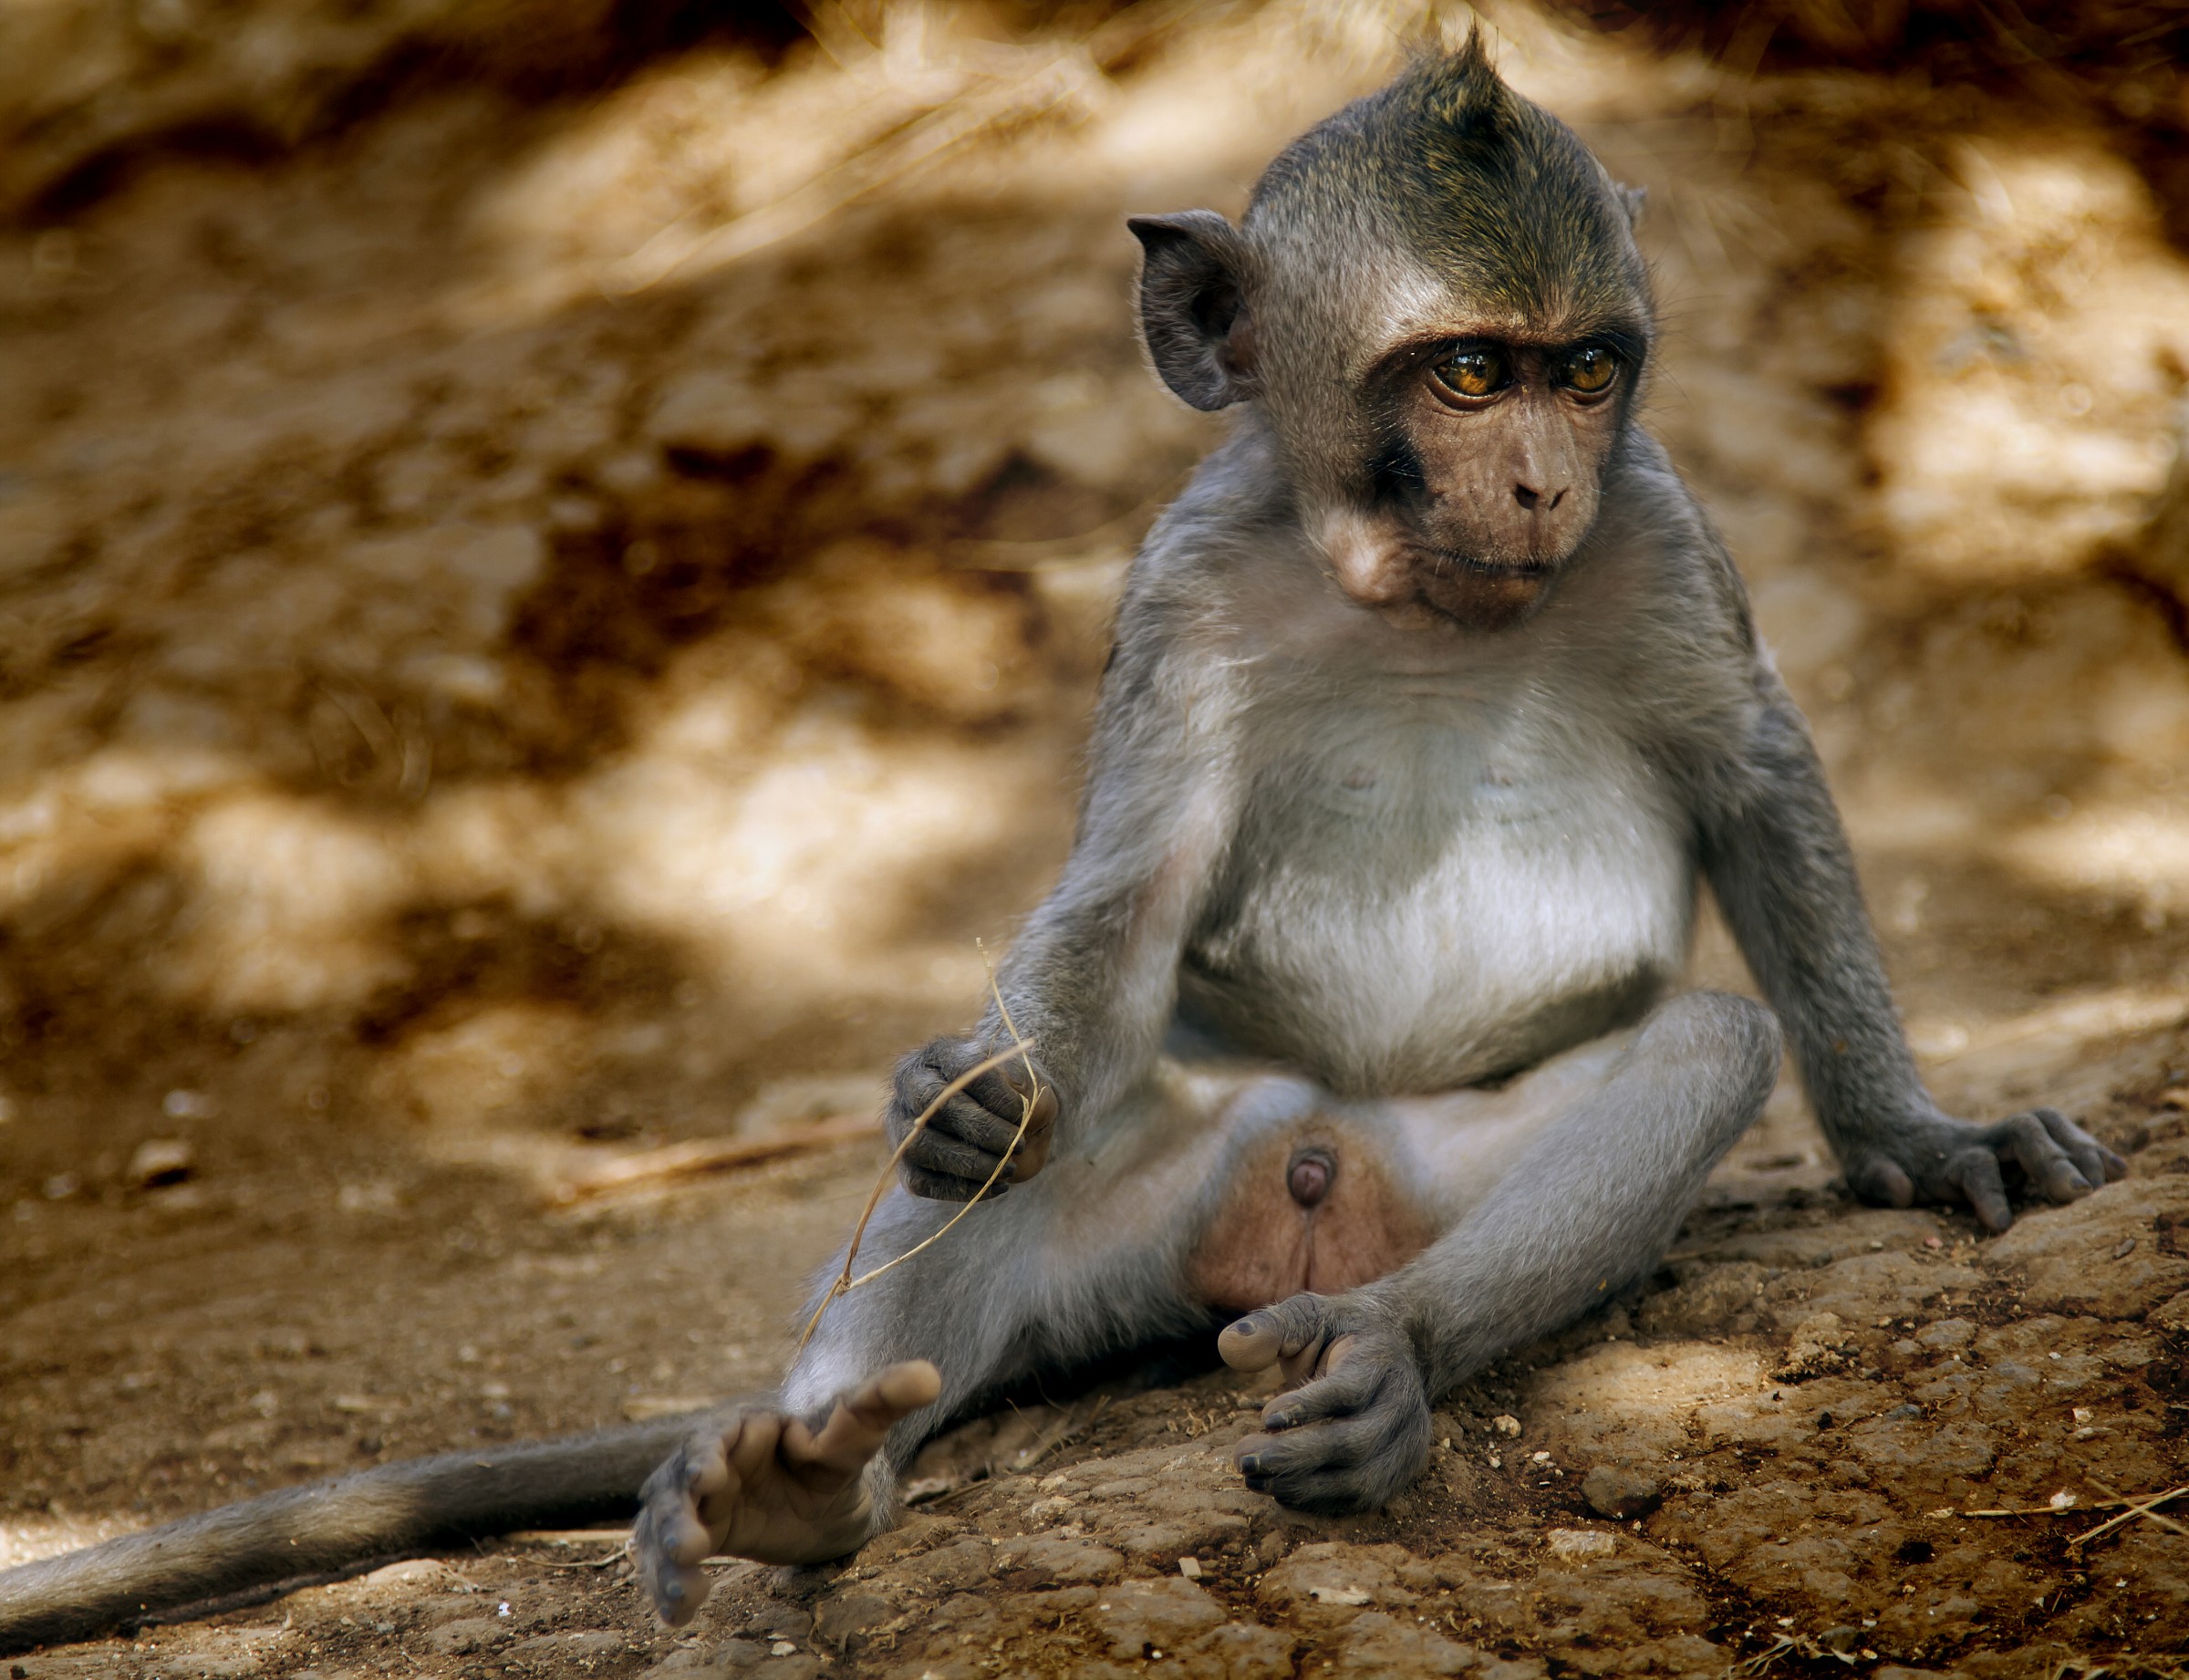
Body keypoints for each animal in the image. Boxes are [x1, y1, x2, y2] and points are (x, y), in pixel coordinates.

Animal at [0, 35, 2126, 1656]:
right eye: (1467, 373)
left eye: (1585, 372)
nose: (1540, 480)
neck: (1419, 598)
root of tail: (1315, 1180)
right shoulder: (1188, 591)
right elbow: (1119, 910)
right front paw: (953, 1091)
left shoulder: (1660, 534)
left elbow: (1756, 779)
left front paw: (1916, 1132)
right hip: (1154, 1201)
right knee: (1004, 1163)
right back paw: (809, 1475)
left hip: (1433, 1184)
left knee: (1690, 1050)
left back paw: (1386, 1353)